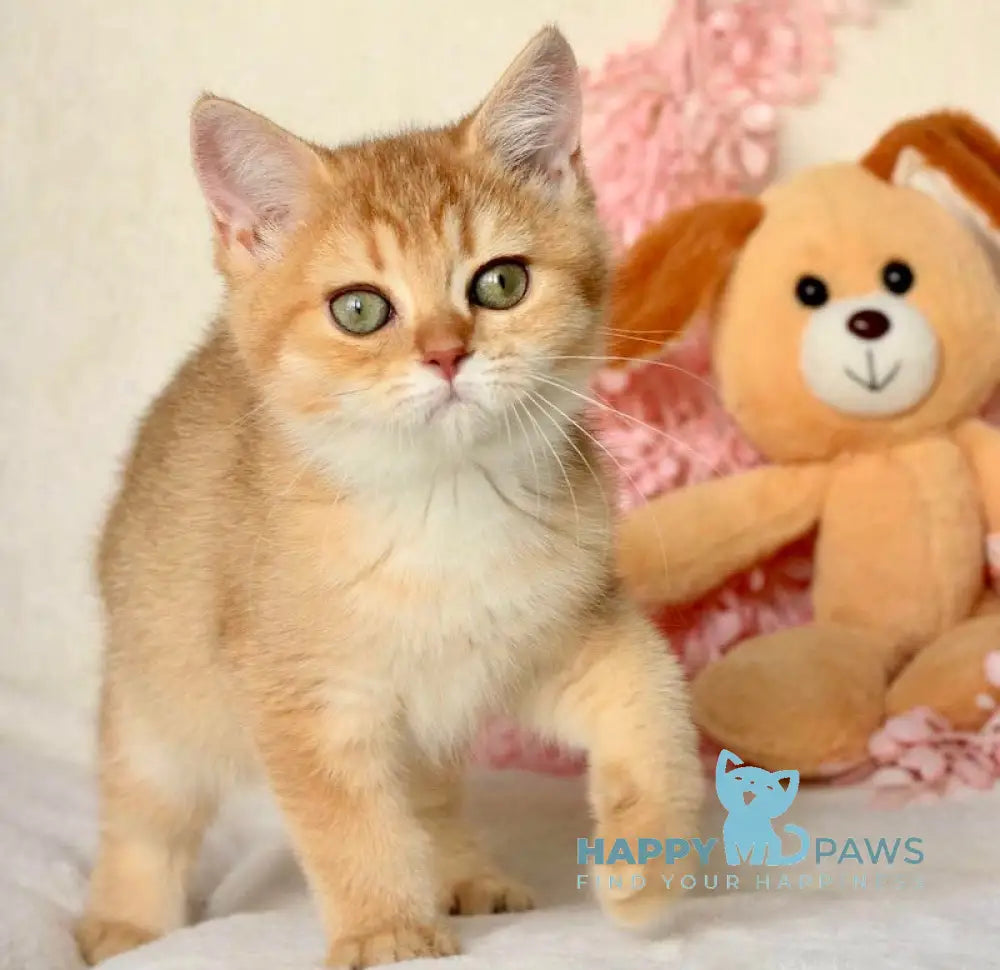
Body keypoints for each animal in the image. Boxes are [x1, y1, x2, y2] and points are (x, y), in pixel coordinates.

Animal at [76, 26, 704, 964]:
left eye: (501, 283)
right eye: (361, 310)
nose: (446, 354)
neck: (442, 512)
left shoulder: (564, 633)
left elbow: (653, 706)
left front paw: (645, 868)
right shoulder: (308, 700)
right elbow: (351, 829)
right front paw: (386, 929)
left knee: (430, 797)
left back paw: (463, 874)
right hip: (159, 695)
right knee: (143, 812)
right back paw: (124, 921)